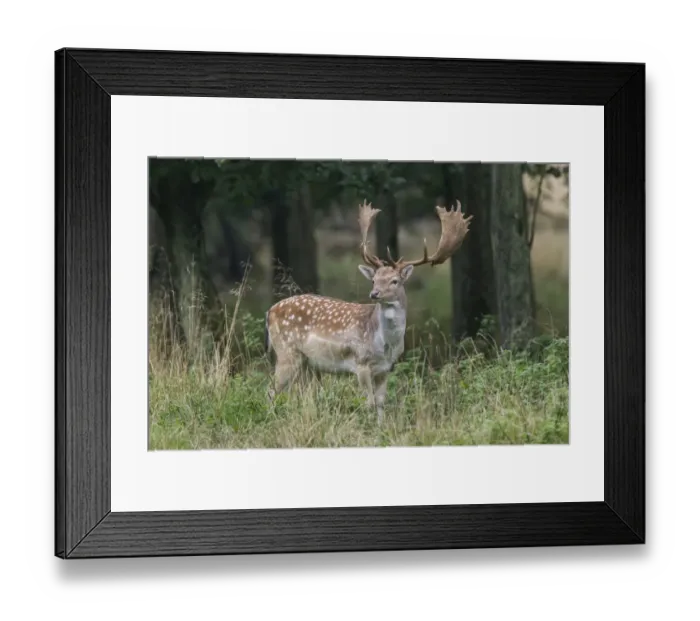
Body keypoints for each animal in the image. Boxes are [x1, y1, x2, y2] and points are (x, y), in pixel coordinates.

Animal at [264, 199, 473, 424]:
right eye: (374, 280)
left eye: (394, 280)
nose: (374, 293)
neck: (385, 344)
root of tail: (270, 312)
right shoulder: (361, 362)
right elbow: (369, 403)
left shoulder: (386, 368)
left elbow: (381, 403)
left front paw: (381, 428)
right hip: (286, 352)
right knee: (271, 391)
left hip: (303, 362)